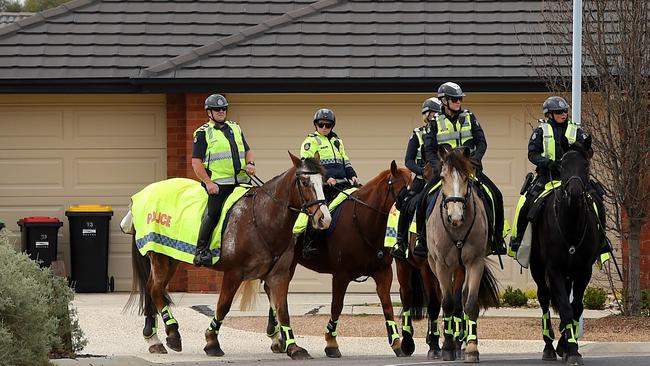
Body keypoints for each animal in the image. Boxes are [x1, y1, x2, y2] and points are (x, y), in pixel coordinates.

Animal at [124, 152, 332, 360]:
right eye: (304, 182)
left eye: (323, 181)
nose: (324, 218)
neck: (261, 219)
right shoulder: (234, 273)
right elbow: (223, 305)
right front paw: (211, 342)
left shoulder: (278, 275)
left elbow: (283, 310)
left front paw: (293, 347)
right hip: (159, 257)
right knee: (155, 289)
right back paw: (172, 333)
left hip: (170, 257)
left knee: (152, 289)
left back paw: (154, 339)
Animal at [264, 161, 410, 358]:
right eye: (402, 189)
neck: (362, 221)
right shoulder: (341, 275)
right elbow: (337, 306)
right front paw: (331, 343)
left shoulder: (383, 273)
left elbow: (387, 307)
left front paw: (396, 343)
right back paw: (278, 337)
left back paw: (277, 337)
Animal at [422, 146, 498, 364]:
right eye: (442, 177)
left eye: (466, 177)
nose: (455, 217)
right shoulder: (441, 265)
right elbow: (447, 303)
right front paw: (447, 347)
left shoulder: (475, 262)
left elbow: (470, 304)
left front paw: (472, 348)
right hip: (436, 265)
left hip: (461, 267)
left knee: (461, 298)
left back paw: (461, 343)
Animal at [528, 135, 600, 366]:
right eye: (563, 165)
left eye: (585, 165)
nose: (575, 193)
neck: (571, 226)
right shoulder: (554, 270)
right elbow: (565, 309)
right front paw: (571, 349)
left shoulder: (583, 271)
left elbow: (575, 307)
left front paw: (570, 347)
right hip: (538, 270)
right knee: (544, 299)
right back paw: (549, 347)